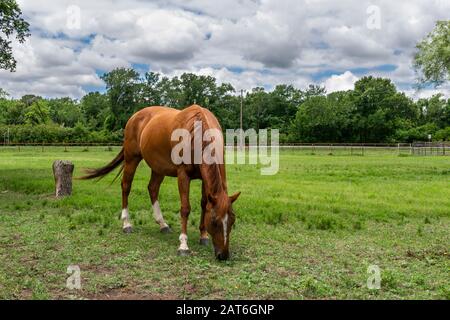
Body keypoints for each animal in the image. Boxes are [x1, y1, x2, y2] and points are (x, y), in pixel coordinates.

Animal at [82, 105, 241, 260]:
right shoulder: (183, 175)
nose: (223, 255)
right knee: (126, 186)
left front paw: (203, 236)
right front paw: (183, 245)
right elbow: (185, 208)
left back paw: (162, 224)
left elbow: (204, 204)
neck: (196, 132)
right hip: (131, 158)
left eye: (232, 221)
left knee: (152, 188)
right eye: (214, 222)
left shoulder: (204, 178)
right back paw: (126, 223)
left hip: (158, 167)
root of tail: (135, 116)